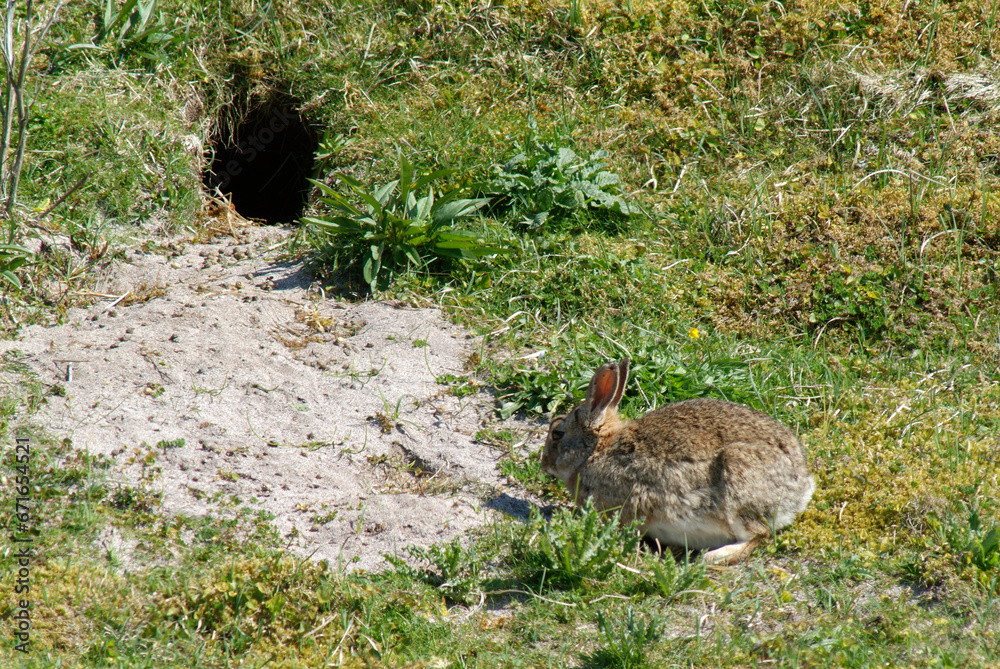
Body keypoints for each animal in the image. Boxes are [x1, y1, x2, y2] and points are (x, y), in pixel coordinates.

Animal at [544, 358, 816, 560]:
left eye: (557, 434)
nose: (543, 463)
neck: (596, 451)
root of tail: (800, 488)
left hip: (738, 481)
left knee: (759, 535)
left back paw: (712, 557)